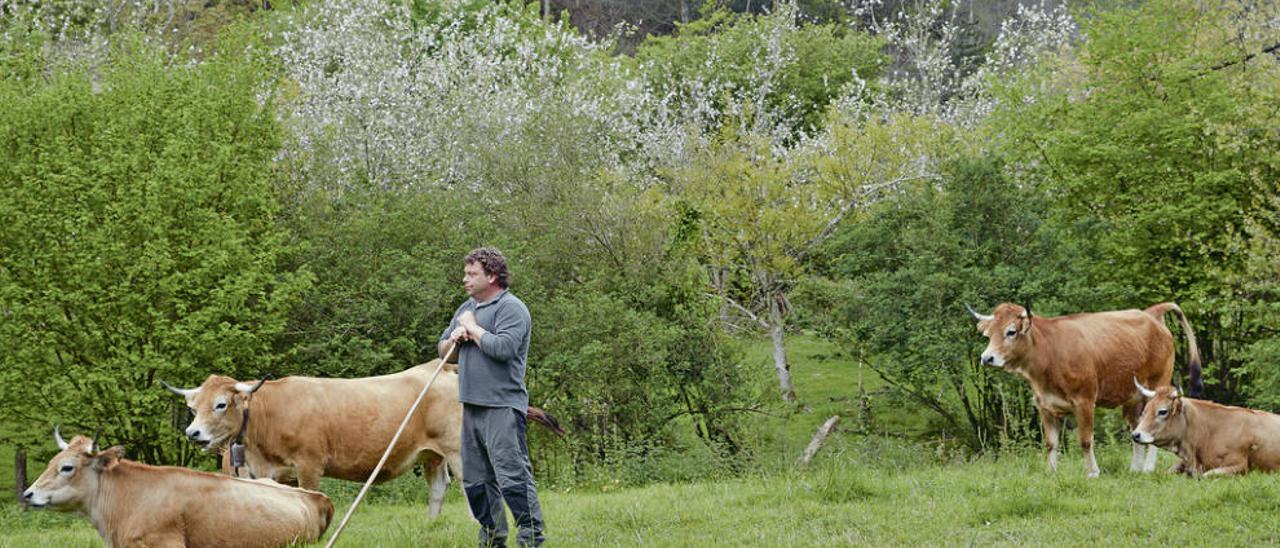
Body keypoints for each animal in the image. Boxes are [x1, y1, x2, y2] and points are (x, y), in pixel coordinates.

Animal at [160, 358, 560, 519]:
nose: (192, 433)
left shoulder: (309, 465)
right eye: (193, 405)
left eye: (221, 404)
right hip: (431, 454)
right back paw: (430, 526)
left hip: (458, 449)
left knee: (472, 488)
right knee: (438, 489)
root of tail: (440, 366)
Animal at [967, 302, 1198, 476]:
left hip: (1157, 386)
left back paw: (1148, 468)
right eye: (988, 335)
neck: (1050, 351)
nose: (986, 358)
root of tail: (1151, 313)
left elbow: (1086, 440)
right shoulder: (1044, 405)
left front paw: (1093, 472)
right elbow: (1050, 443)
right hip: (1133, 398)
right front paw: (1051, 472)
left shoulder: (1085, 401)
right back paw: (1135, 469)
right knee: (1137, 428)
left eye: (1011, 332)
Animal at [1136, 381, 1280, 476]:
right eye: (1145, 410)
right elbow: (1169, 471)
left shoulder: (1239, 465)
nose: (1135, 434)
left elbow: (1206, 475)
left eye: (1162, 411)